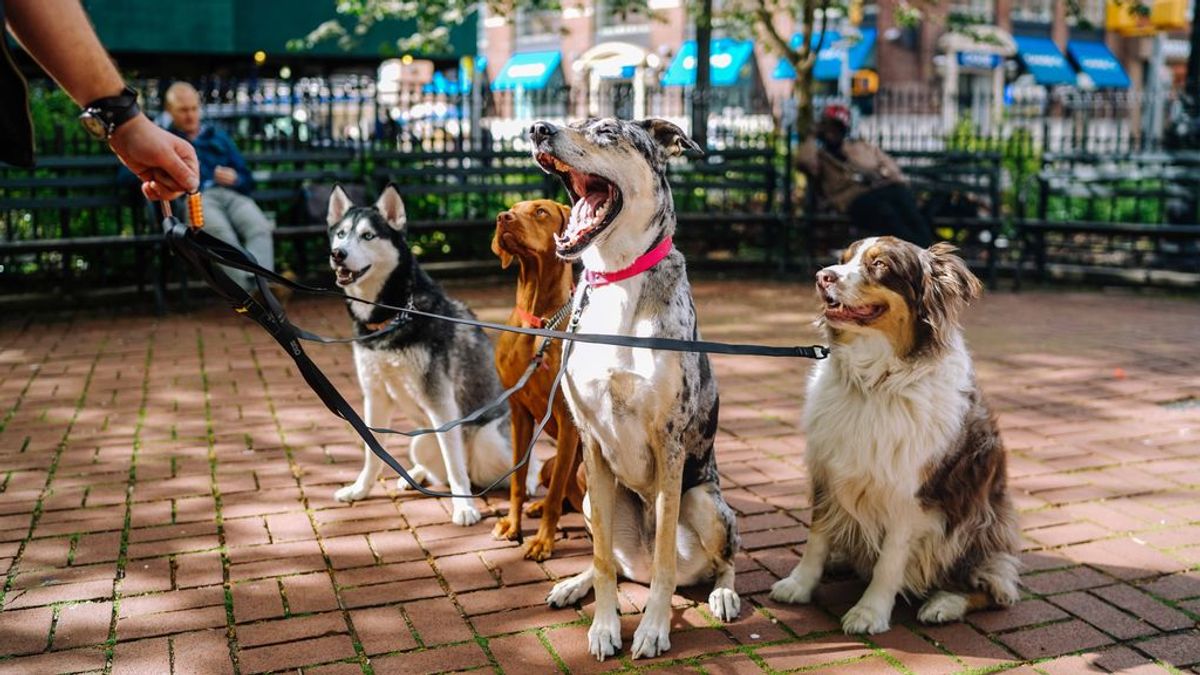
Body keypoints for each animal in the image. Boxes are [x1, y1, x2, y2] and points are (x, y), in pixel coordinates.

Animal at [487, 198, 580, 557]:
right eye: (512, 208)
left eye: (540, 211)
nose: (503, 217)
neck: (539, 321)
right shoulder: (519, 412)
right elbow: (517, 479)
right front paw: (512, 525)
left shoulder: (568, 420)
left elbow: (554, 496)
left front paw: (542, 541)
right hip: (549, 464)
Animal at [532, 118, 739, 658]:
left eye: (606, 131)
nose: (538, 128)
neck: (617, 278)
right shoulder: (590, 441)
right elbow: (604, 560)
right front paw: (605, 627)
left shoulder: (669, 443)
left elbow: (666, 559)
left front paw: (652, 629)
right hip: (589, 497)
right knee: (617, 562)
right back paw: (573, 584)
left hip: (705, 503)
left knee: (723, 559)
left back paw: (723, 594)